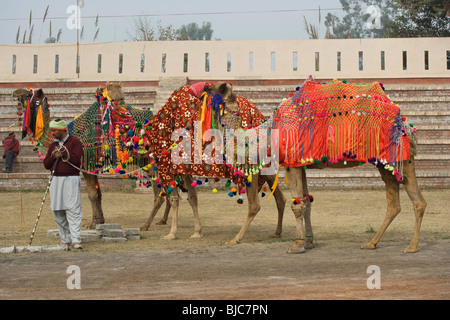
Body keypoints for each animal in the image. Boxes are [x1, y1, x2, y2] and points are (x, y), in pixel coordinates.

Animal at [268, 77, 428, 252]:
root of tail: (407, 127)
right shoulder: (301, 164)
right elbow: (307, 202)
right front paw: (308, 242)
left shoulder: (292, 162)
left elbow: (297, 205)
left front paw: (297, 246)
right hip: (391, 162)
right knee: (403, 202)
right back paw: (375, 243)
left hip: (394, 156)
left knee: (406, 199)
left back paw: (409, 246)